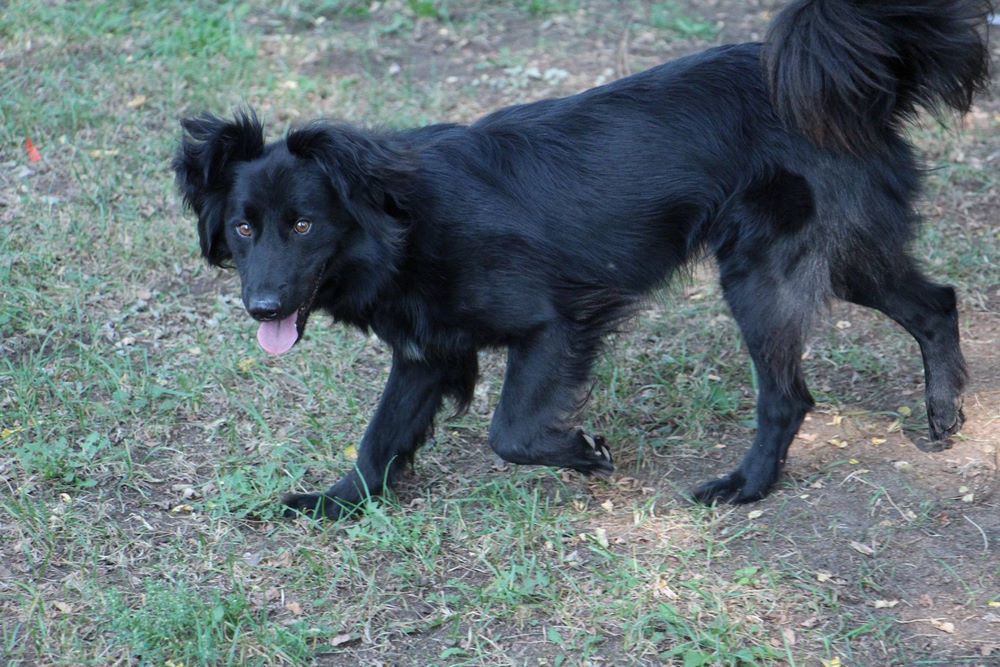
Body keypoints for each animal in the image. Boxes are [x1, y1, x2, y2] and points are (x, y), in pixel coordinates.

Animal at [174, 0, 993, 519]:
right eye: (243, 229)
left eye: (304, 224)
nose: (262, 307)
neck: (399, 222)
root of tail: (850, 83)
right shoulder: (427, 352)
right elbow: (380, 436)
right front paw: (338, 503)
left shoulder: (553, 324)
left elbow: (509, 433)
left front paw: (586, 451)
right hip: (842, 258)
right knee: (937, 301)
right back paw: (944, 411)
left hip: (761, 273)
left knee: (788, 396)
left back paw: (747, 485)